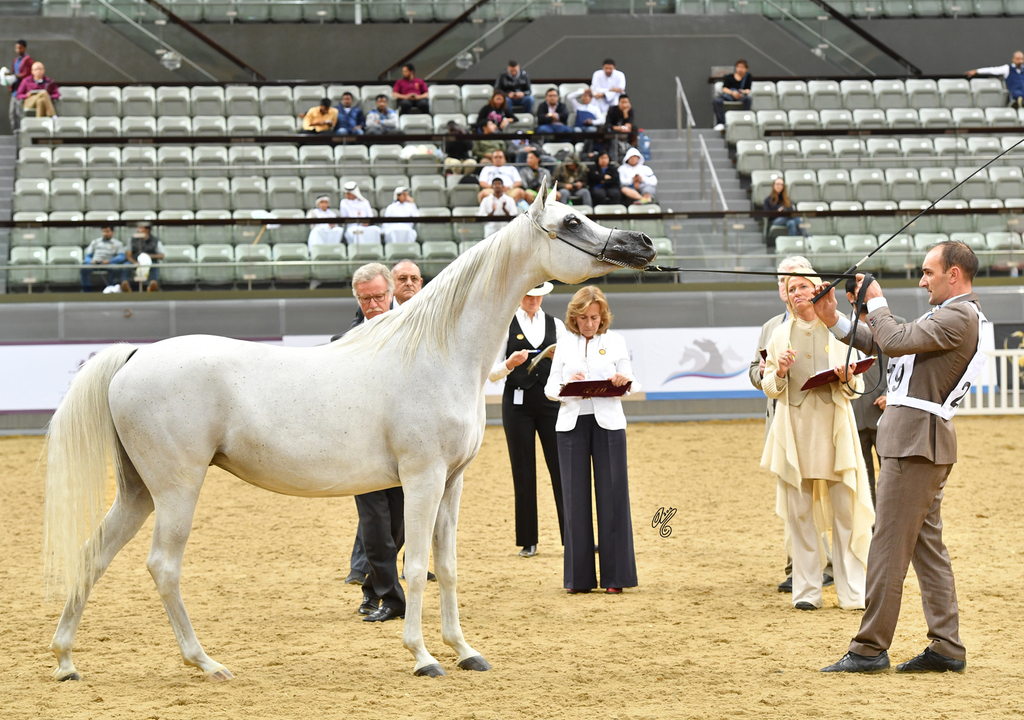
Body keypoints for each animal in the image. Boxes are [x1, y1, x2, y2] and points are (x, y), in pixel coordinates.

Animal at [43, 179, 656, 682]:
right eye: (571, 221)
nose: (643, 243)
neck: (438, 352)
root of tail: (136, 355)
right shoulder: (422, 479)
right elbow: (415, 569)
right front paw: (424, 657)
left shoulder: (452, 482)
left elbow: (448, 568)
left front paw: (465, 651)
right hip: (176, 489)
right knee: (163, 567)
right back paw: (206, 662)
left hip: (139, 491)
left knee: (94, 552)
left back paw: (67, 660)